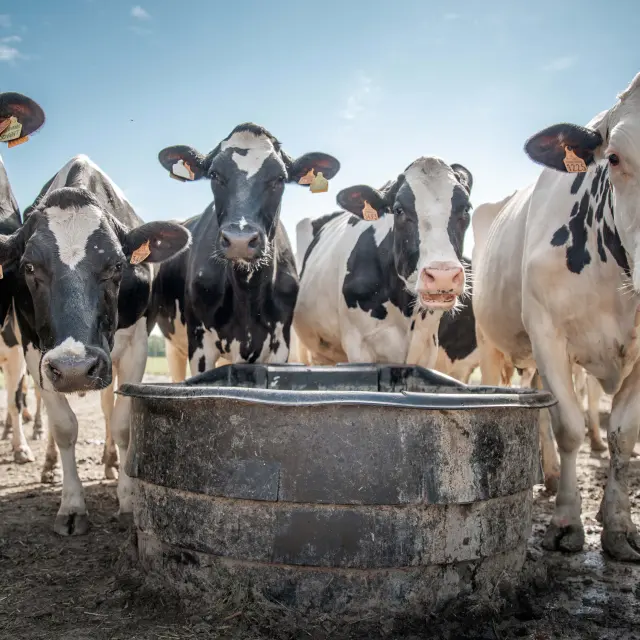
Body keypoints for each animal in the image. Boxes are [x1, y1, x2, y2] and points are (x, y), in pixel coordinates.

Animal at [0, 155, 190, 534]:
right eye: (29, 266)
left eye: (117, 265)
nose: (74, 369)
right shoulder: (32, 350)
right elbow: (63, 427)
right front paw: (72, 505)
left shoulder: (136, 346)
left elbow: (121, 423)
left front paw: (128, 500)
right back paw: (48, 464)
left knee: (105, 408)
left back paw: (110, 461)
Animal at [151, 123, 340, 378]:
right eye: (214, 175)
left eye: (280, 178)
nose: (239, 240)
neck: (247, 290)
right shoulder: (200, 343)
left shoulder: (281, 345)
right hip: (174, 346)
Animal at [473, 72, 640, 561]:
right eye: (615, 157)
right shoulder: (546, 332)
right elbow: (567, 425)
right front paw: (567, 522)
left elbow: (623, 433)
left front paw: (618, 525)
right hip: (491, 342)